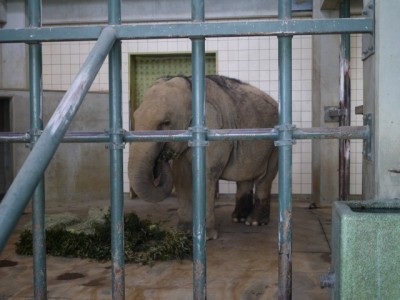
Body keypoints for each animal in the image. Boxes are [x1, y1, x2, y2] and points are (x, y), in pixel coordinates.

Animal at [129, 75, 278, 239]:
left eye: (166, 122)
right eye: (135, 117)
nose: (162, 156)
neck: (191, 86)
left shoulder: (213, 134)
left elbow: (205, 175)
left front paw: (206, 236)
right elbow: (181, 177)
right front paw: (184, 231)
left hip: (273, 147)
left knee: (265, 178)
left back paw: (254, 222)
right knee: (244, 177)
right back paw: (238, 218)